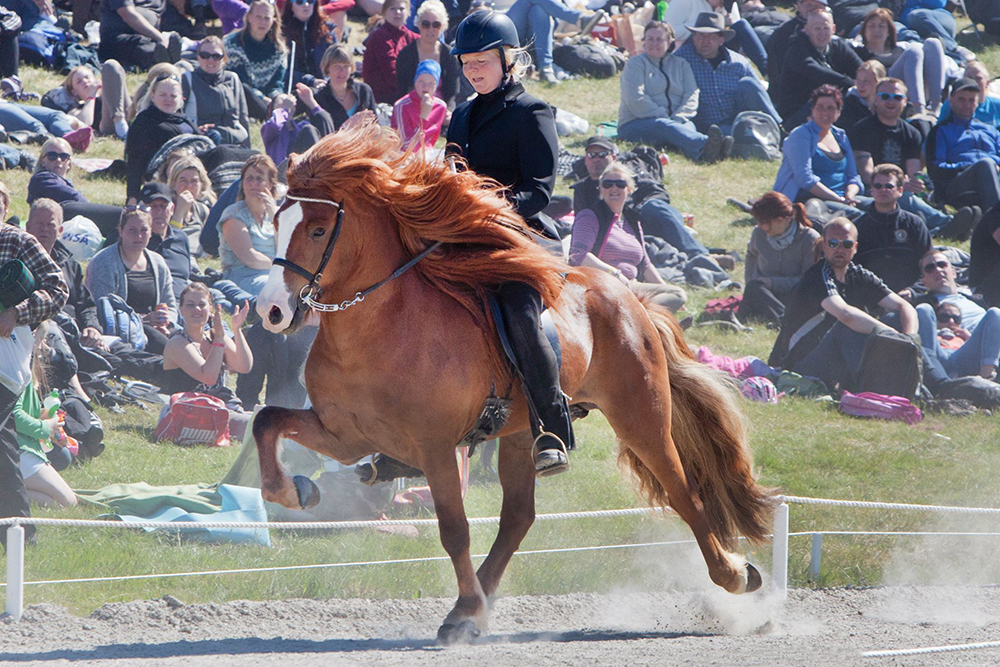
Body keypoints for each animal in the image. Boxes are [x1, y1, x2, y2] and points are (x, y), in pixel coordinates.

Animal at [252, 121, 772, 648]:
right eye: (275, 221)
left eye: (318, 229)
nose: (270, 311)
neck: (378, 329)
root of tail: (630, 295)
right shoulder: (344, 435)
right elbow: (265, 422)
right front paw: (295, 492)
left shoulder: (435, 448)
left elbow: (454, 530)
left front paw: (462, 611)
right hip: (525, 432)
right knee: (519, 517)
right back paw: (474, 607)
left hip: (641, 416)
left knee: (684, 493)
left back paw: (736, 578)